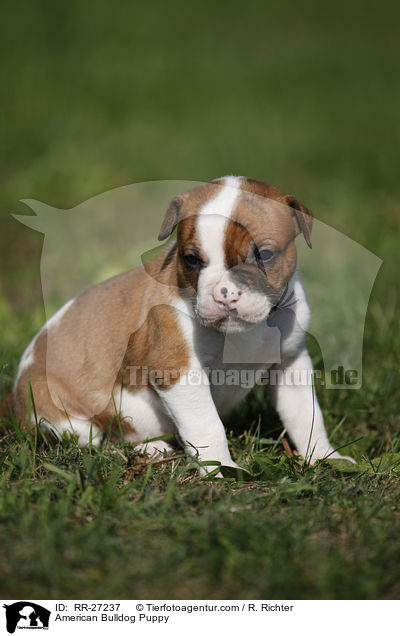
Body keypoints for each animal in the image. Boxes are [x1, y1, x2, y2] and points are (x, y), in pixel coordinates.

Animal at [12, 178, 354, 472]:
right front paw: (221, 469)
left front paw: (325, 456)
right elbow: (207, 424)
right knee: (96, 442)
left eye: (265, 255)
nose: (225, 294)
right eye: (191, 259)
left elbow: (307, 415)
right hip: (63, 420)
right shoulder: (178, 371)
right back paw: (150, 449)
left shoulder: (291, 365)